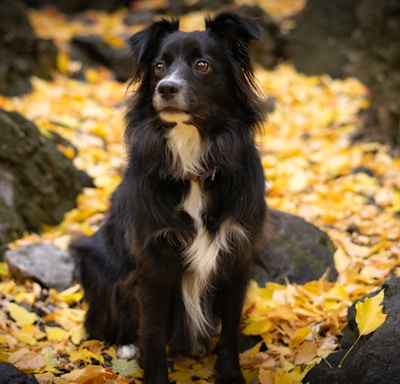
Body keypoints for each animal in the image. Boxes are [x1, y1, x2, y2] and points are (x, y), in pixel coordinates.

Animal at [70, 12, 268, 384]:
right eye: (159, 66)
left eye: (203, 65)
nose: (166, 88)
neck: (193, 164)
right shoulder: (153, 263)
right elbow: (153, 333)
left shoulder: (237, 255)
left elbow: (231, 330)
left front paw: (230, 374)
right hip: (97, 260)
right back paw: (126, 345)